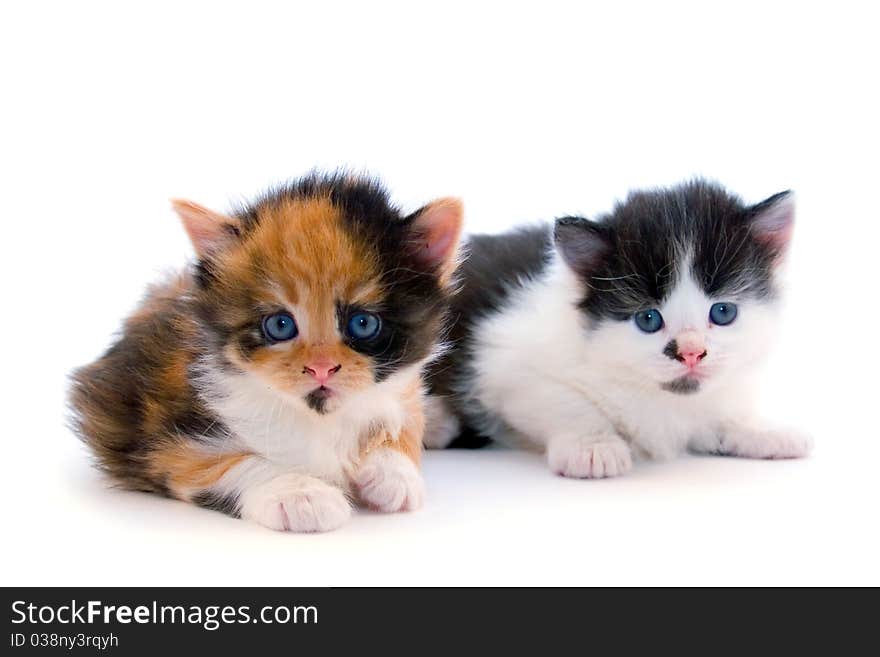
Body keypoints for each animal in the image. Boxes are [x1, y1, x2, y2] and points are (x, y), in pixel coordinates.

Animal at [72, 173, 464, 528]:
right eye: (280, 325)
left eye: (363, 324)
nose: (321, 368)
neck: (320, 419)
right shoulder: (166, 445)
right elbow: (231, 463)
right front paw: (300, 494)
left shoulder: (402, 388)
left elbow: (405, 418)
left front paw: (394, 473)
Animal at [426, 179, 812, 476]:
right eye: (648, 319)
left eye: (723, 312)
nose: (690, 352)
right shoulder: (502, 359)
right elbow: (560, 398)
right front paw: (592, 445)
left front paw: (759, 428)